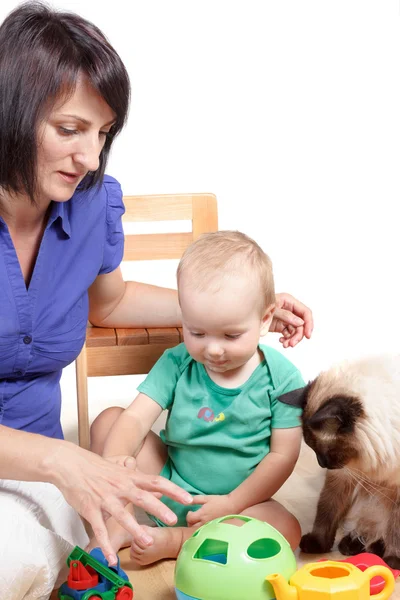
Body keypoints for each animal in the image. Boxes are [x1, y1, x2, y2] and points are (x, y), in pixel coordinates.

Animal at [280, 354, 400, 568]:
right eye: (311, 448)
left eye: (325, 451)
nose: (321, 463)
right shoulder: (342, 475)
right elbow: (327, 510)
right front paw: (318, 544)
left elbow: (395, 527)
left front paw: (393, 560)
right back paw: (353, 545)